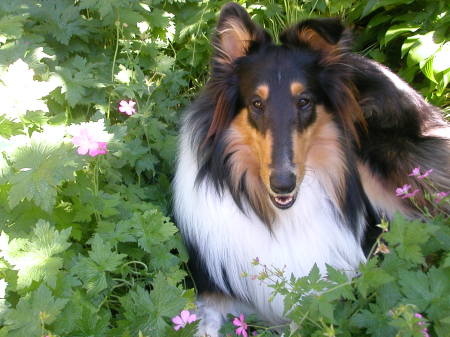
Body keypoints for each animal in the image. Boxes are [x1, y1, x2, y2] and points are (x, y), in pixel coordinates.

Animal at [173, 1, 450, 334]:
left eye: (304, 101)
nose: (283, 184)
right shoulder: (213, 289)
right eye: (256, 104)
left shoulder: (324, 291)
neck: (281, 218)